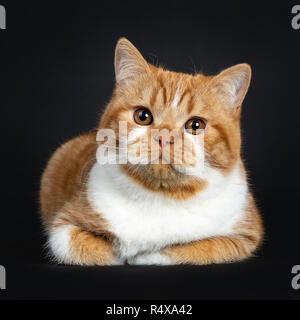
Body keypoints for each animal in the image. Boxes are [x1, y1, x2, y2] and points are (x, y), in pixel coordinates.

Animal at [39, 37, 262, 264]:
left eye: (195, 125)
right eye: (142, 116)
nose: (164, 137)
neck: (160, 194)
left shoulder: (243, 237)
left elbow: (195, 249)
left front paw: (145, 256)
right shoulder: (64, 227)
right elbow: (91, 249)